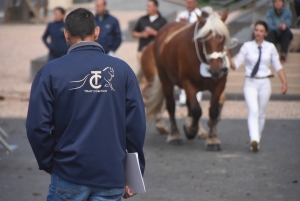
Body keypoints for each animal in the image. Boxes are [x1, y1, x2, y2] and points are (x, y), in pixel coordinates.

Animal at [143, 8, 230, 151]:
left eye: (222, 38)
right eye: (203, 39)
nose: (216, 70)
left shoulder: (219, 84)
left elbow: (212, 110)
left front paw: (212, 139)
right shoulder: (188, 82)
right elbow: (196, 110)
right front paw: (191, 130)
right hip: (165, 78)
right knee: (171, 106)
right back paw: (175, 135)